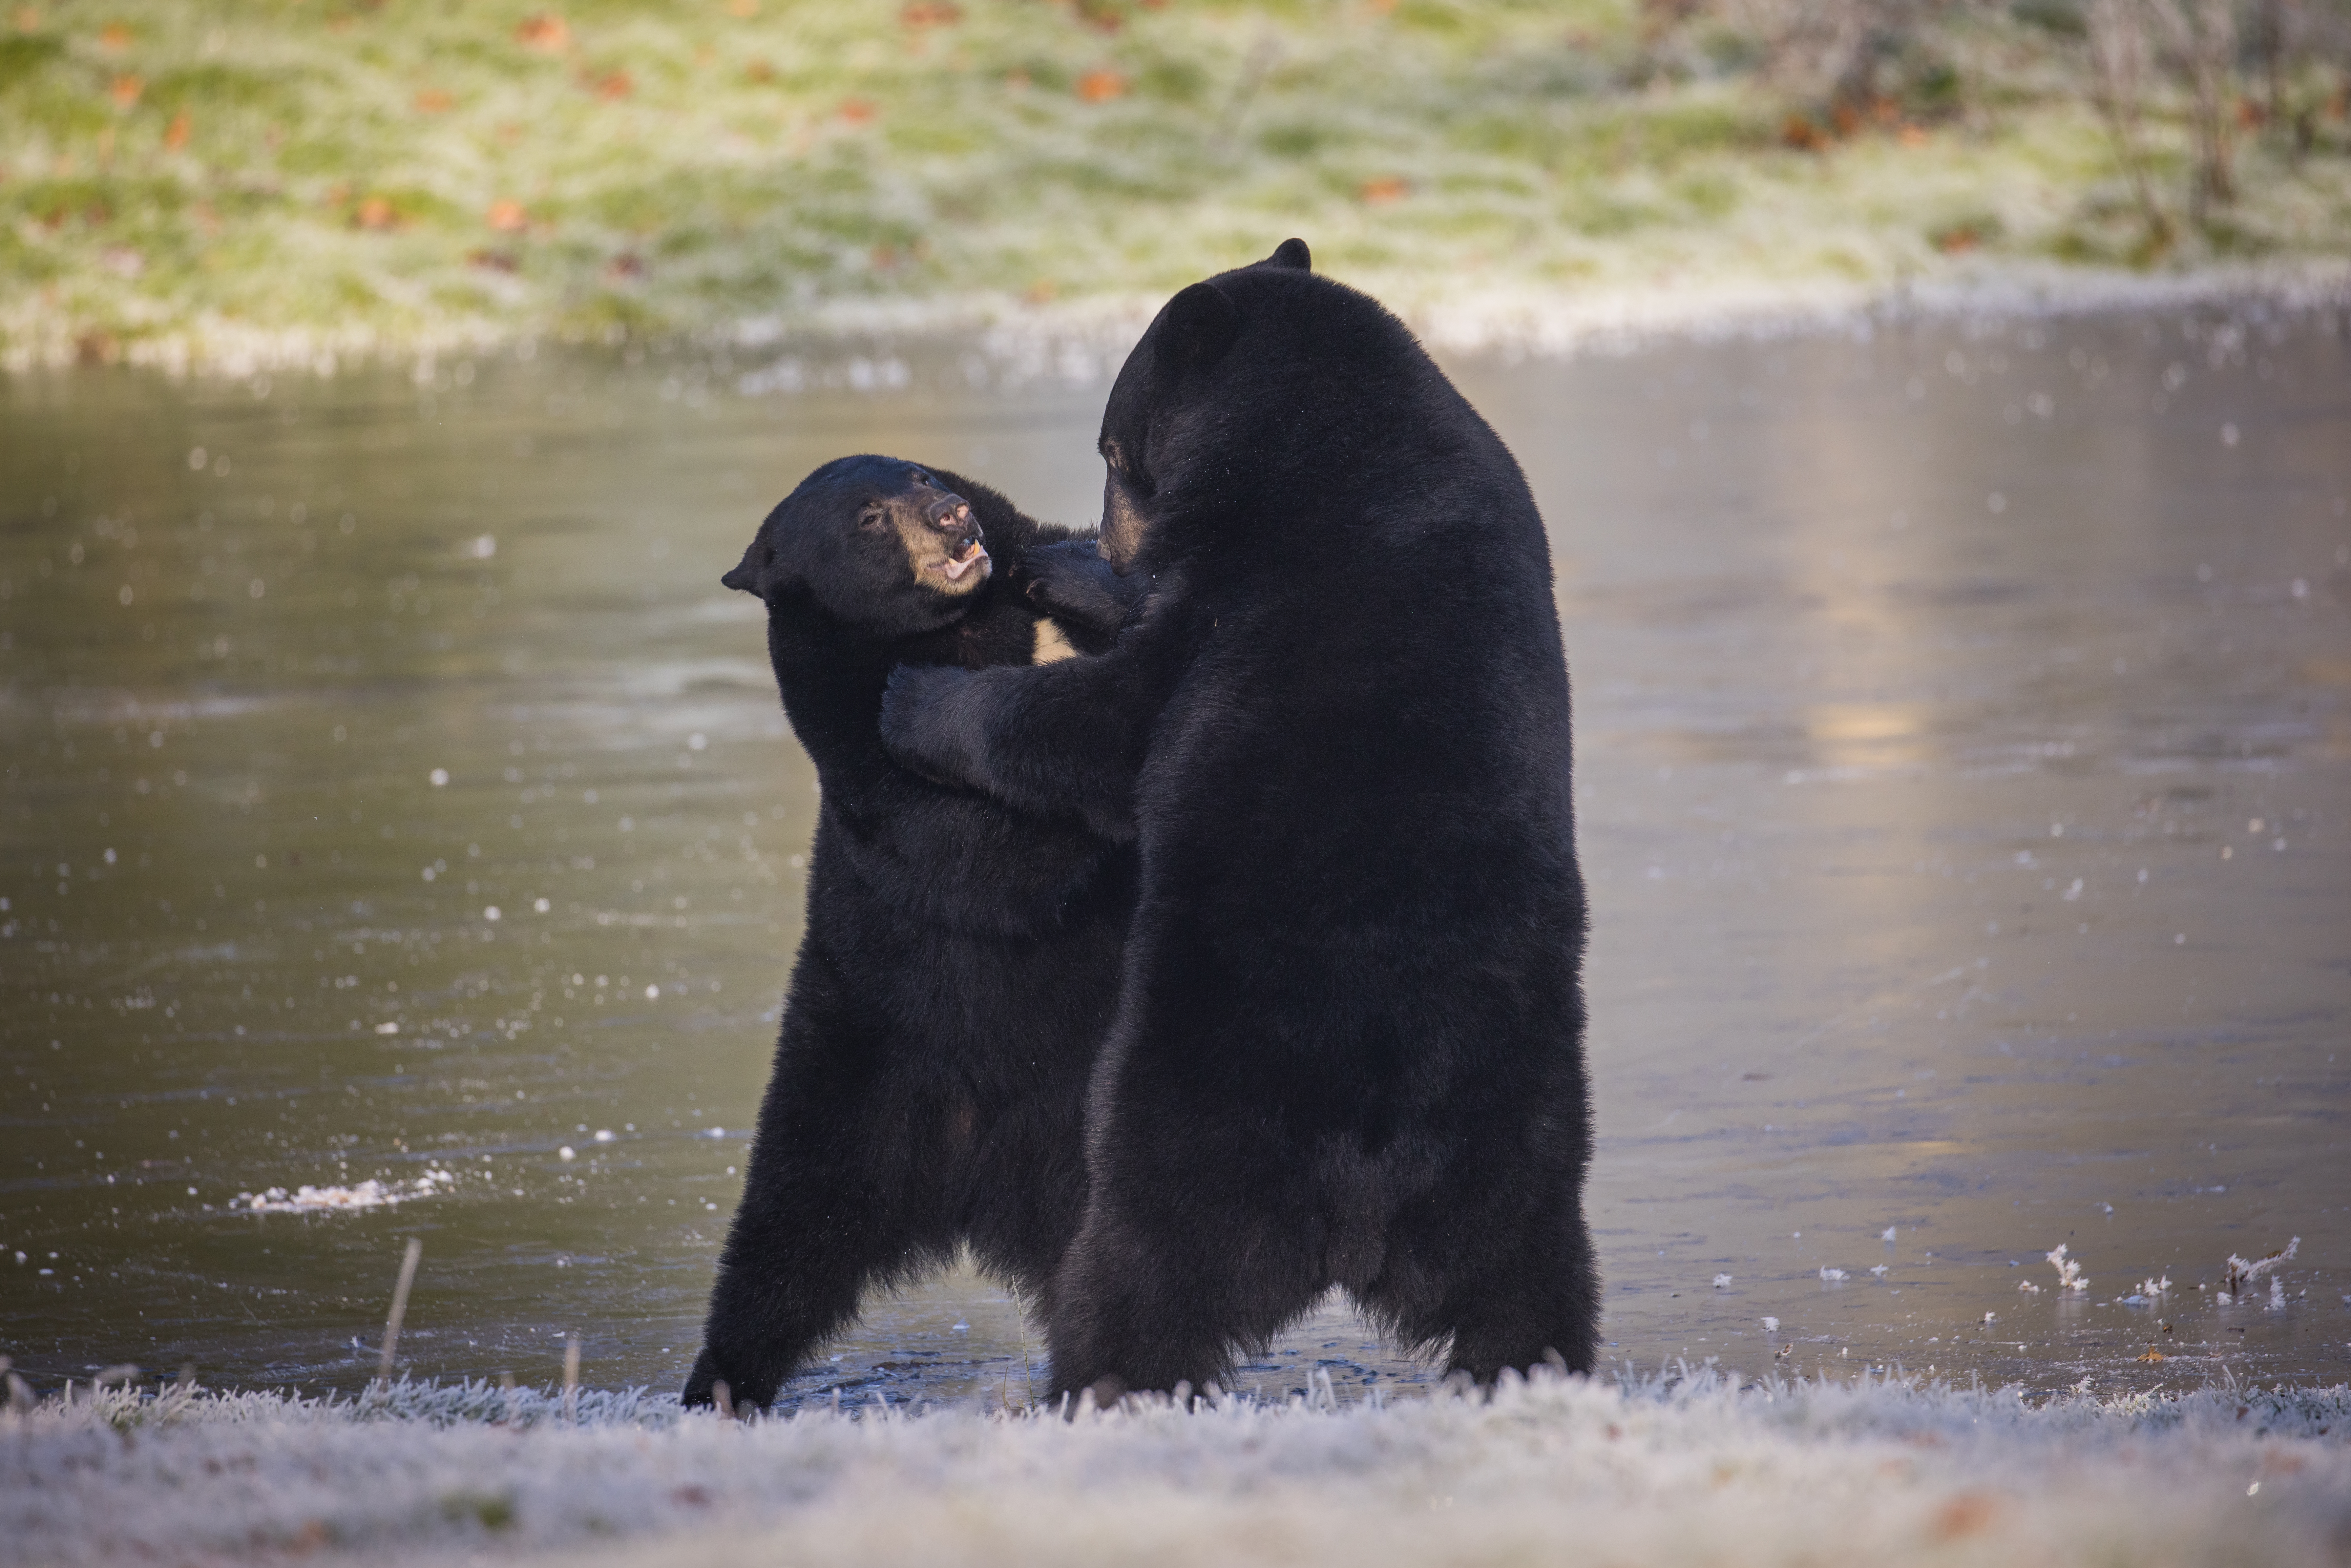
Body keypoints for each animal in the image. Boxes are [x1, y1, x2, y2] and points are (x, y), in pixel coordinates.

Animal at [686, 453, 1143, 1410]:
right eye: (867, 516)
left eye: (922, 474)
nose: (952, 515)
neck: (956, 639)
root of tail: (967, 1184)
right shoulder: (869, 777)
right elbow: (986, 852)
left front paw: (1069, 579)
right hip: (842, 1081)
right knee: (780, 1245)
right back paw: (719, 1380)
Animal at [884, 236, 1599, 1401]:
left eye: (1112, 442)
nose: (1113, 531)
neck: (1326, 440)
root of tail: (1365, 1187)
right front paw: (1055, 561)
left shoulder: (1249, 588)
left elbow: (1109, 727)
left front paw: (920, 699)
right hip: (1519, 1158)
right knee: (1531, 1288)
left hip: (1186, 1116)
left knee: (1135, 1273)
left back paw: (1085, 1384)